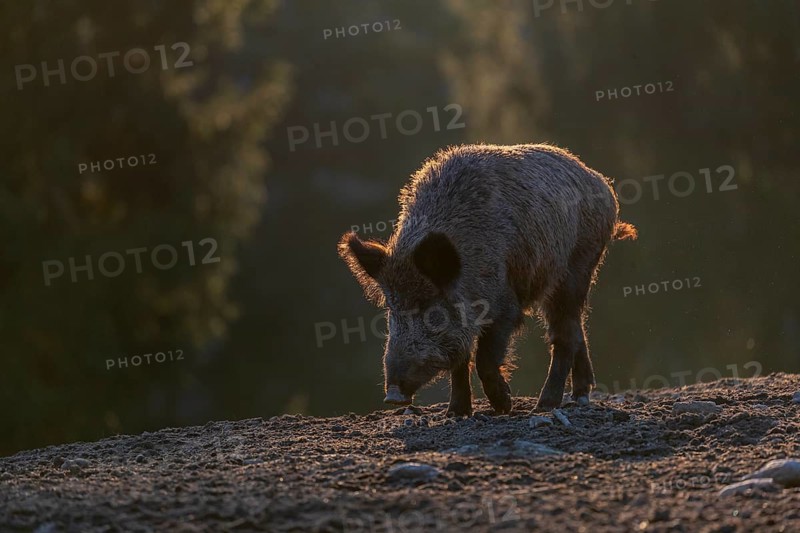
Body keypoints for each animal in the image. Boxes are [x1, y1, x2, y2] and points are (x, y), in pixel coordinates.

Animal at [338, 143, 636, 416]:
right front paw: (456, 413)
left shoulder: (505, 307)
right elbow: (461, 361)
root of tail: (601, 183)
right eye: (391, 307)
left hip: (578, 265)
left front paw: (503, 406)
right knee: (576, 329)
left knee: (564, 334)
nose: (393, 396)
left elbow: (484, 359)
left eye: (427, 305)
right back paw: (579, 396)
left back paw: (544, 406)